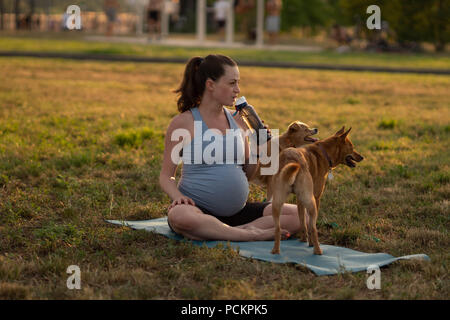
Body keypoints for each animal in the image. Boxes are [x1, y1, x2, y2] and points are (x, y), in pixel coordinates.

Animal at [270, 127, 362, 255]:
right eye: (352, 148)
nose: (362, 157)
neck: (324, 152)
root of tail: (290, 160)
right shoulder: (316, 197)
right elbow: (310, 225)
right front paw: (310, 243)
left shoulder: (299, 200)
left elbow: (303, 222)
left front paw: (303, 240)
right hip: (311, 203)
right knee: (314, 228)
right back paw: (318, 250)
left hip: (277, 203)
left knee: (277, 228)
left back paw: (275, 251)